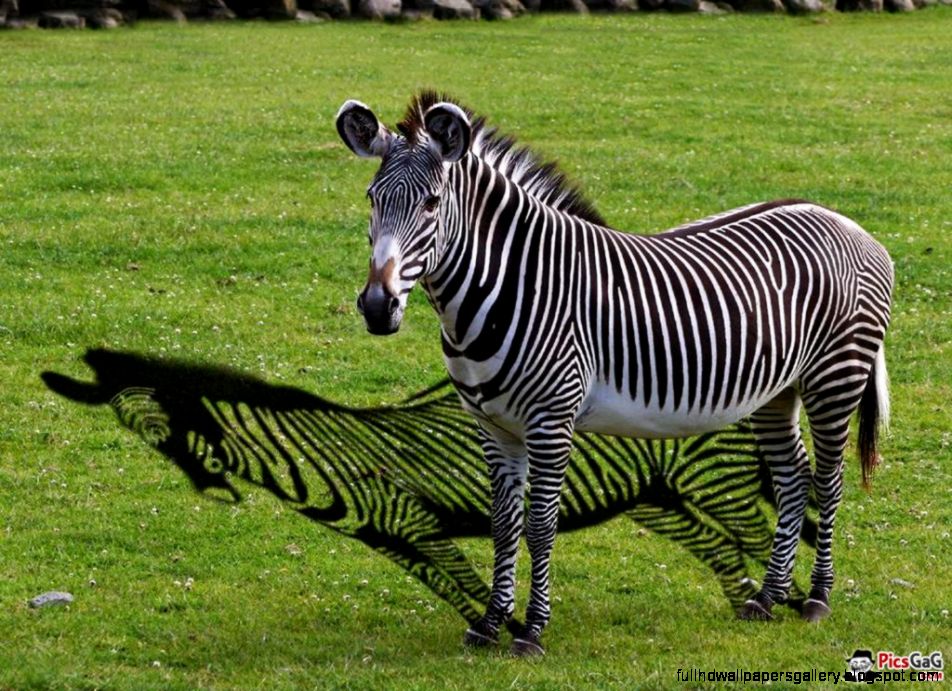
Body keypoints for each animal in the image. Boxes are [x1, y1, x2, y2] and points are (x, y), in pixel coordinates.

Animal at [336, 91, 894, 656]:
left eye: (431, 204)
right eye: (371, 199)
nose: (378, 308)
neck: (511, 285)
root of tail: (842, 220)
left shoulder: (551, 419)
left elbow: (539, 525)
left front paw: (532, 630)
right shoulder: (492, 425)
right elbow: (503, 523)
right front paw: (491, 622)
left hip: (835, 377)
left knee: (828, 482)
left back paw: (818, 598)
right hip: (777, 392)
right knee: (793, 478)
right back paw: (768, 596)